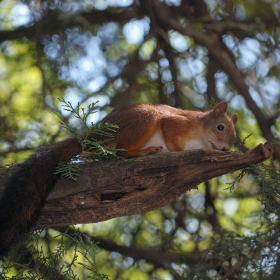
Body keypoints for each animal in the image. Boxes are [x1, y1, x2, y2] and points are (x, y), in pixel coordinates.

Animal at [0, 100, 238, 258]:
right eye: (220, 127)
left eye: (235, 137)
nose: (226, 149)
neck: (200, 134)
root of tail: (94, 135)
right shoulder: (176, 123)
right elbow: (171, 136)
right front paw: (178, 152)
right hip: (144, 119)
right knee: (121, 151)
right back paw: (144, 151)